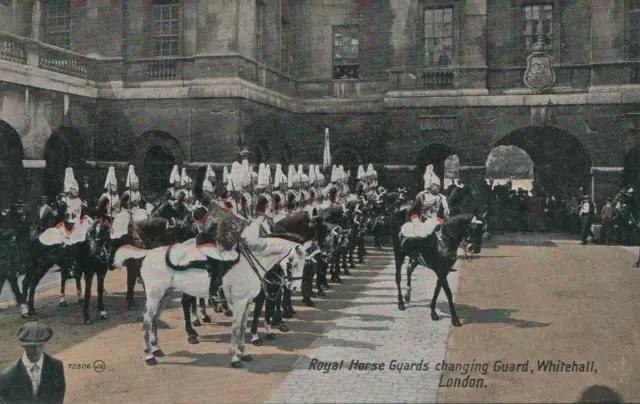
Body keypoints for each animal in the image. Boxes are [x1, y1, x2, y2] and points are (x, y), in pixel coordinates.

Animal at [114, 235, 308, 368]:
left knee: (153, 320)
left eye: (305, 263)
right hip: (155, 295)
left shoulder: (246, 303)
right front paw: (235, 357)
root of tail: (148, 253)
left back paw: (156, 349)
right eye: (291, 263)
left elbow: (243, 327)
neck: (247, 264)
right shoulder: (238, 303)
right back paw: (149, 356)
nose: (295, 287)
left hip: (161, 295)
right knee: (147, 321)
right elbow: (236, 328)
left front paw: (243, 353)